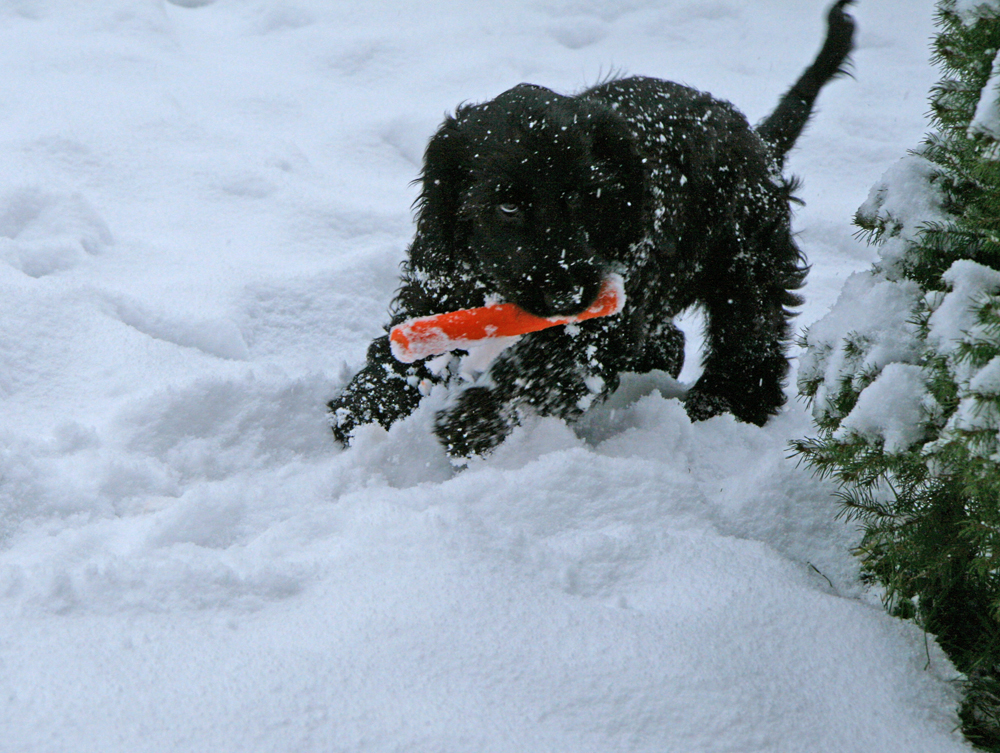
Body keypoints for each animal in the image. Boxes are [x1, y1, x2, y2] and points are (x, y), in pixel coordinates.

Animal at [326, 2, 852, 456]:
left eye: (585, 197)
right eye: (507, 206)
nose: (568, 293)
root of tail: (759, 141)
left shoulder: (605, 319)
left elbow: (545, 370)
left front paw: (472, 422)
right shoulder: (439, 281)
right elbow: (408, 345)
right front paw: (365, 409)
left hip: (747, 260)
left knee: (750, 338)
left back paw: (720, 407)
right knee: (675, 340)